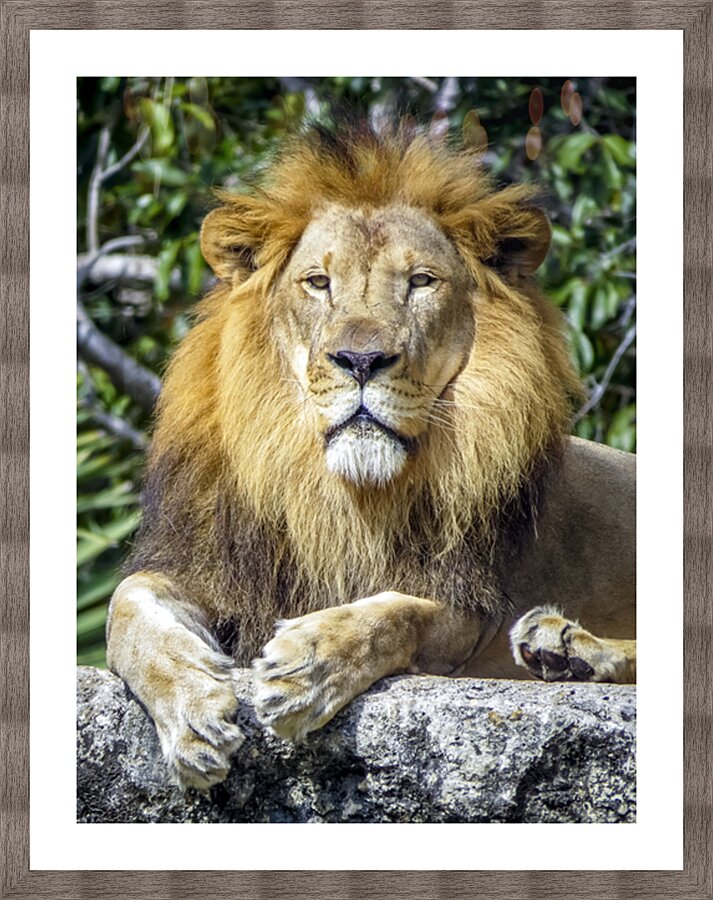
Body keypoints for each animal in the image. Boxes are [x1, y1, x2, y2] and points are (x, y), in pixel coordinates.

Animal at [106, 121, 636, 792]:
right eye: (318, 282)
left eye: (421, 282)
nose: (361, 361)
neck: (341, 493)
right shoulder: (217, 568)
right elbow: (129, 608)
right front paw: (193, 711)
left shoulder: (471, 607)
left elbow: (400, 612)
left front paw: (308, 660)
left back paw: (570, 646)